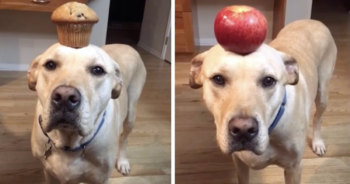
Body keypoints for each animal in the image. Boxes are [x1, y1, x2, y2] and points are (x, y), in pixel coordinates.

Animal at [27, 42, 146, 183]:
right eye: (50, 65)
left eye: (98, 70)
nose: (65, 96)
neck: (68, 141)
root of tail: (126, 45)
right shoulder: (49, 174)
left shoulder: (101, 179)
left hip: (131, 113)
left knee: (125, 138)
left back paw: (123, 161)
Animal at [189, 19, 336, 183]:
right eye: (218, 79)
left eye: (268, 81)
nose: (243, 129)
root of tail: (313, 20)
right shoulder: (239, 163)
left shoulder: (294, 168)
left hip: (322, 91)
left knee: (318, 117)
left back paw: (318, 142)